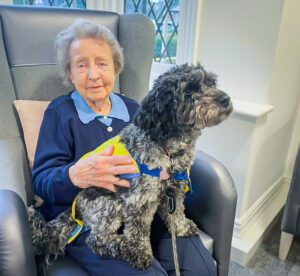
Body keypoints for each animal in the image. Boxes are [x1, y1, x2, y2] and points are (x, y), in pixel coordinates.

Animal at [28, 63, 232, 268]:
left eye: (211, 82)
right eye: (189, 90)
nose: (225, 99)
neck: (168, 149)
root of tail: (76, 210)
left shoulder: (175, 190)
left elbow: (177, 212)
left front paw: (180, 227)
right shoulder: (139, 201)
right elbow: (138, 232)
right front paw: (139, 252)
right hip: (110, 205)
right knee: (97, 240)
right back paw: (122, 245)